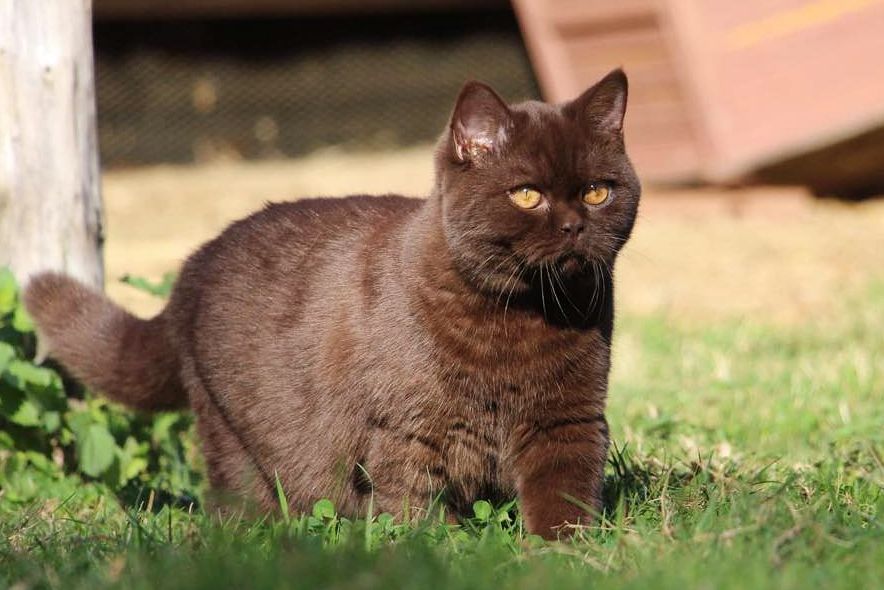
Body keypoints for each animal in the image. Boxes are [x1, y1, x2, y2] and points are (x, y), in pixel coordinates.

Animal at [24, 69, 640, 540]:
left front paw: (566, 555)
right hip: (232, 436)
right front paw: (440, 552)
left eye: (596, 191)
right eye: (527, 194)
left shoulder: (568, 420)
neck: (516, 320)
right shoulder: (405, 432)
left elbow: (564, 498)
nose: (574, 225)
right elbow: (414, 505)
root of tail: (191, 271)